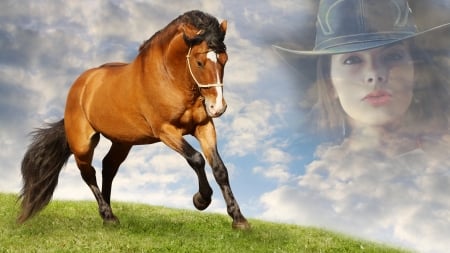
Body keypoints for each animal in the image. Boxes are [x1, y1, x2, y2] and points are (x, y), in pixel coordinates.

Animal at [18, 10, 250, 229]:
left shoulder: (203, 126)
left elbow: (219, 168)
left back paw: (108, 215)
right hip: (83, 143)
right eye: (200, 62)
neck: (170, 78)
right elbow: (196, 158)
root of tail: (81, 85)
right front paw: (201, 200)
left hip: (122, 142)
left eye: (224, 60)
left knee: (108, 168)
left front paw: (239, 220)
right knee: (88, 173)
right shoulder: (166, 130)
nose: (218, 107)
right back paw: (108, 215)